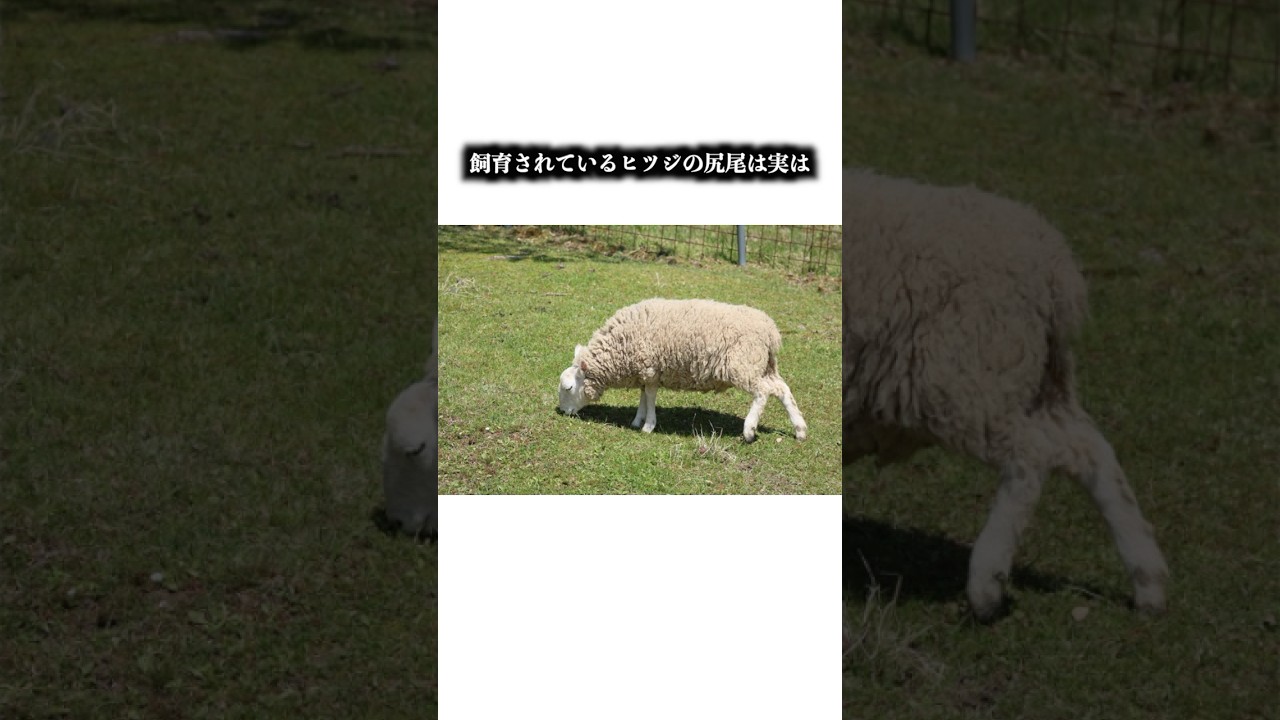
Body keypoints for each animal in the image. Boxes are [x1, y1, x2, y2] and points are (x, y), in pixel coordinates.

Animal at [557, 298, 808, 442]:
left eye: (568, 388)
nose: (563, 412)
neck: (621, 347)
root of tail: (771, 332)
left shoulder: (650, 367)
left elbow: (650, 396)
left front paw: (648, 425)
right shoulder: (647, 370)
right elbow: (643, 395)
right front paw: (638, 419)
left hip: (743, 364)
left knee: (763, 392)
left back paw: (749, 430)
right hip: (763, 365)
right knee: (782, 389)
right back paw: (800, 430)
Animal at [842, 169, 1168, 620]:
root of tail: (1053, 268)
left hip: (967, 376)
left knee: (1032, 456)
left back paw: (987, 585)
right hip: (1035, 381)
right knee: (1090, 452)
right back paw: (1148, 583)